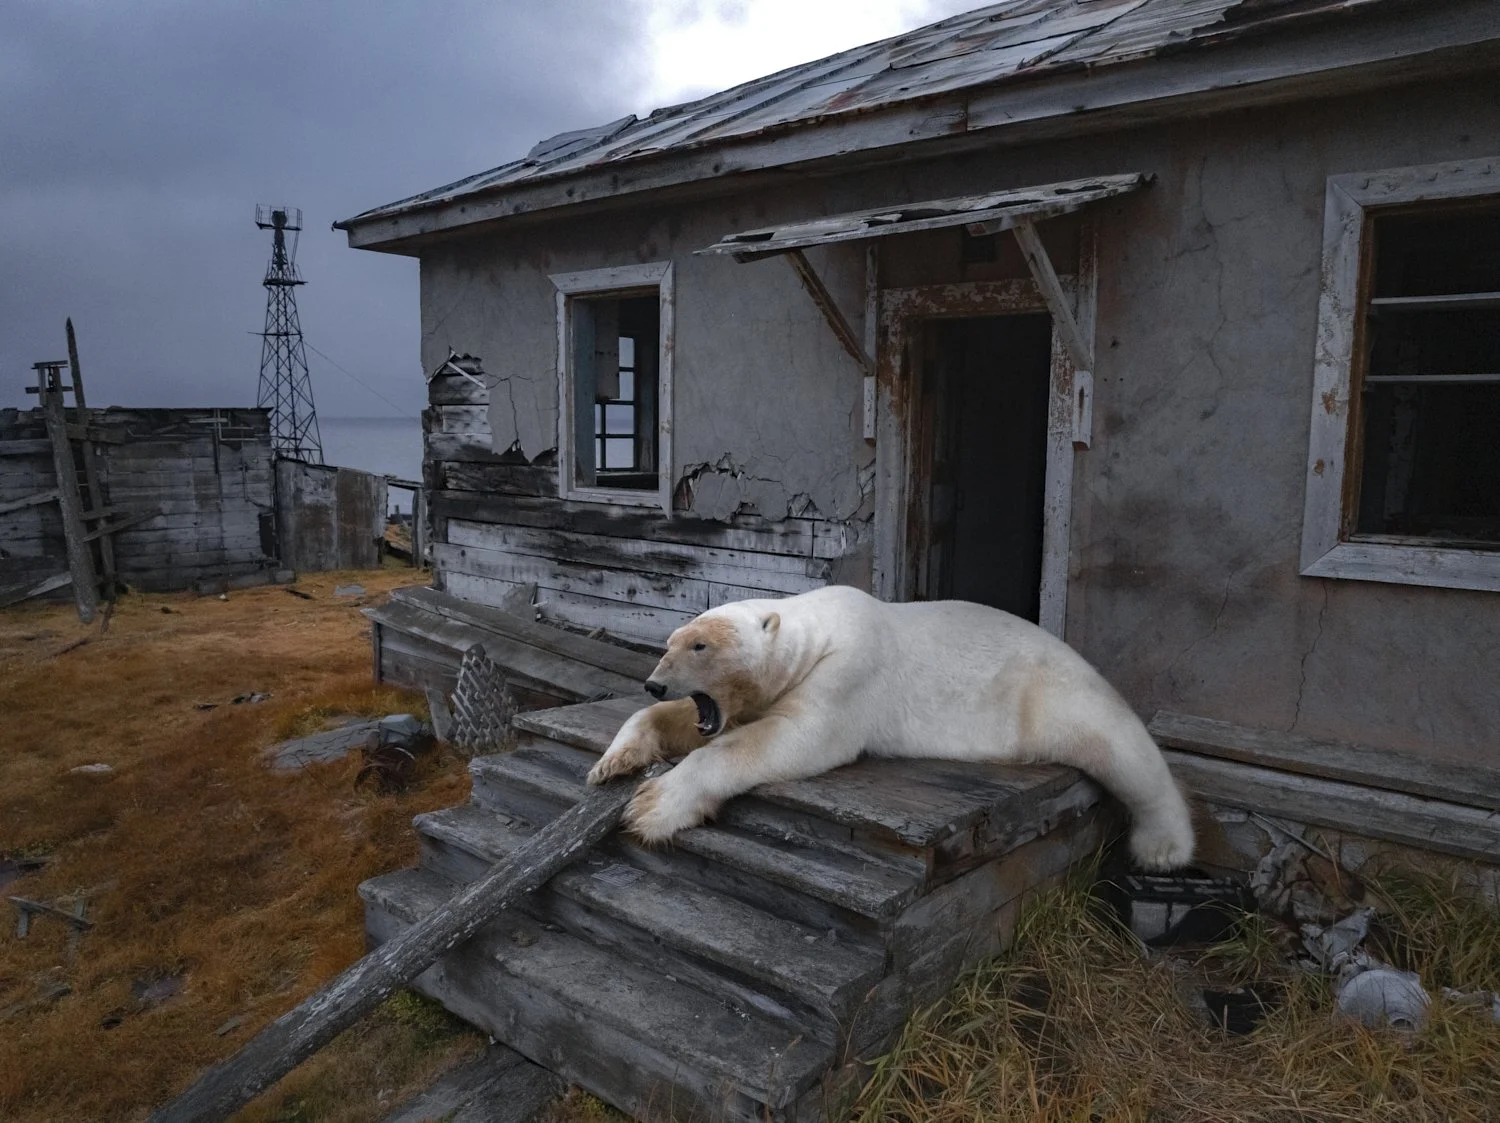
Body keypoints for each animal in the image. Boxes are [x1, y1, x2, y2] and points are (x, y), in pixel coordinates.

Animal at [587, 584, 1195, 870]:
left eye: (700, 645)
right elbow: (696, 723)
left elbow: (790, 738)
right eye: (669, 643)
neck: (818, 633)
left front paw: (653, 807)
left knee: (1122, 750)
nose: (654, 682)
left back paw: (1163, 846)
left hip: (1053, 695)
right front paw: (615, 760)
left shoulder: (848, 674)